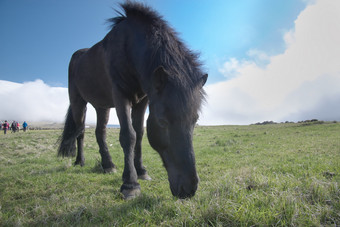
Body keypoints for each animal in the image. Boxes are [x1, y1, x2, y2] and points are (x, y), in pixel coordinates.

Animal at [57, 2, 207, 200]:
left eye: (195, 120)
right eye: (162, 121)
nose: (189, 188)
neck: (129, 49)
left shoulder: (142, 100)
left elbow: (140, 134)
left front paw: (141, 171)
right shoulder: (121, 96)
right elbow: (129, 135)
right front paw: (130, 183)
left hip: (102, 106)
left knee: (100, 132)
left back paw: (108, 165)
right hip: (78, 102)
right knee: (80, 131)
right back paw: (79, 161)